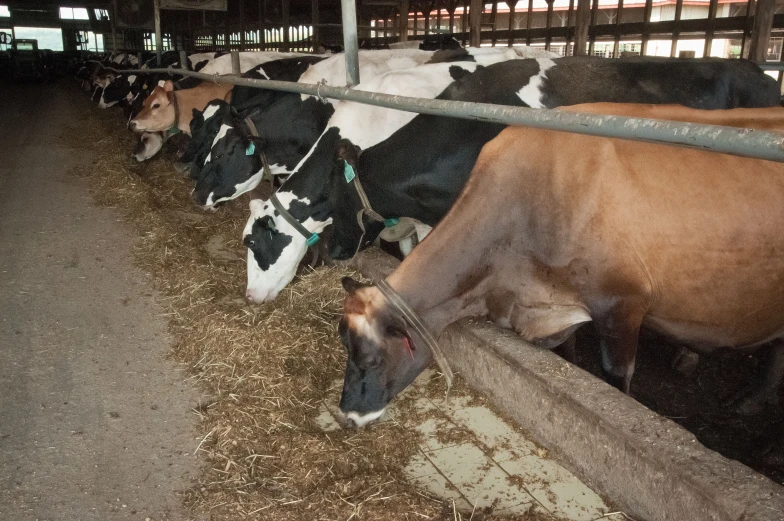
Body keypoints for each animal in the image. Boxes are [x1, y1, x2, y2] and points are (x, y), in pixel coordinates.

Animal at [338, 102, 784, 426]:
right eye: (344, 346)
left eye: (371, 358)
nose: (346, 416)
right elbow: (567, 351)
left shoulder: (622, 304)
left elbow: (617, 375)